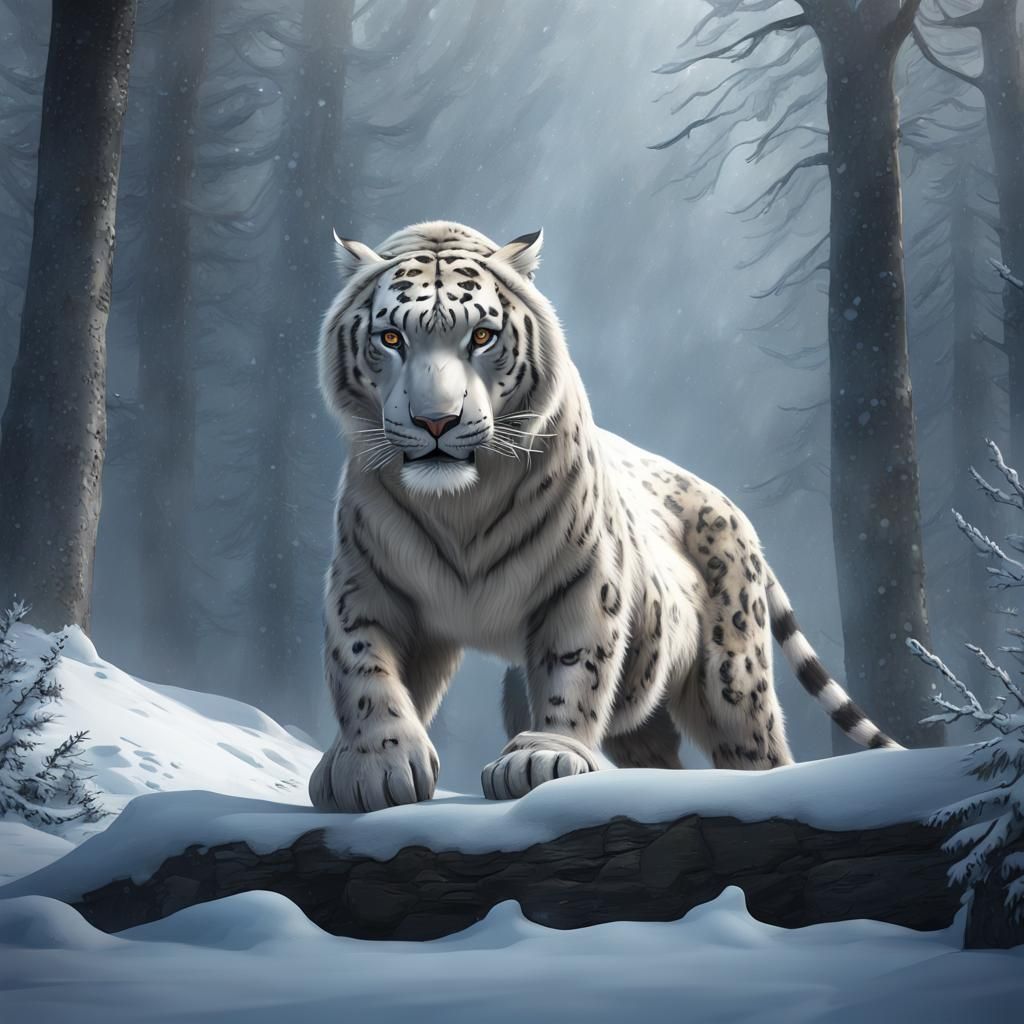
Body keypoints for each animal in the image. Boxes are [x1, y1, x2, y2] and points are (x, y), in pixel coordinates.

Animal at [308, 220, 900, 813]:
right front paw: (374, 766)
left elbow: (574, 669)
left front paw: (542, 757)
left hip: (733, 679)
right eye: (391, 339)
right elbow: (362, 666)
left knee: (758, 750)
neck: (457, 506)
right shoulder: (367, 581)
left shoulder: (584, 580)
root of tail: (734, 512)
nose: (436, 421)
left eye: (481, 337)